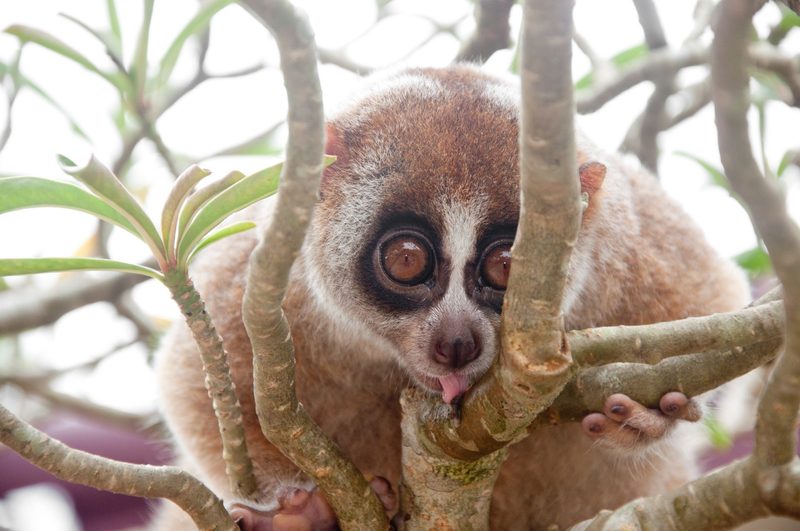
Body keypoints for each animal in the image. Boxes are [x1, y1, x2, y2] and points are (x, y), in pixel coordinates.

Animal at [150, 65, 749, 530]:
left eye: (507, 266)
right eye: (406, 260)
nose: (456, 343)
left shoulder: (633, 255)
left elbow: (711, 293)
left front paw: (646, 412)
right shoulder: (269, 275)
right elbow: (195, 383)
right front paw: (300, 515)